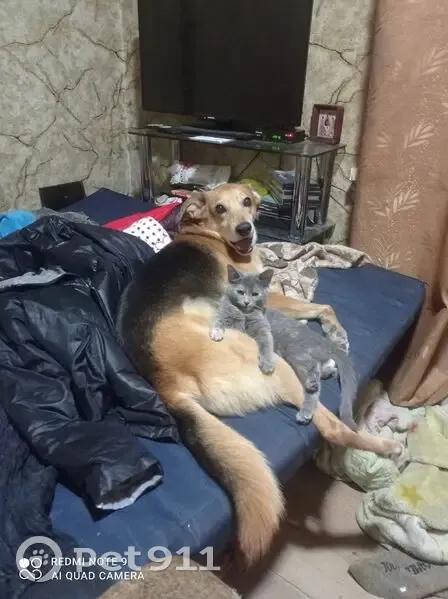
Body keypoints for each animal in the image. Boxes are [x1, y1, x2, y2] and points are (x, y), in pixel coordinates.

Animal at [117, 183, 402, 567]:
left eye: (248, 202)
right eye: (219, 208)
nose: (245, 231)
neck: (210, 235)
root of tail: (164, 384)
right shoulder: (270, 300)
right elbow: (322, 305)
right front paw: (336, 332)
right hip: (268, 362)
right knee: (332, 426)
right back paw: (386, 445)